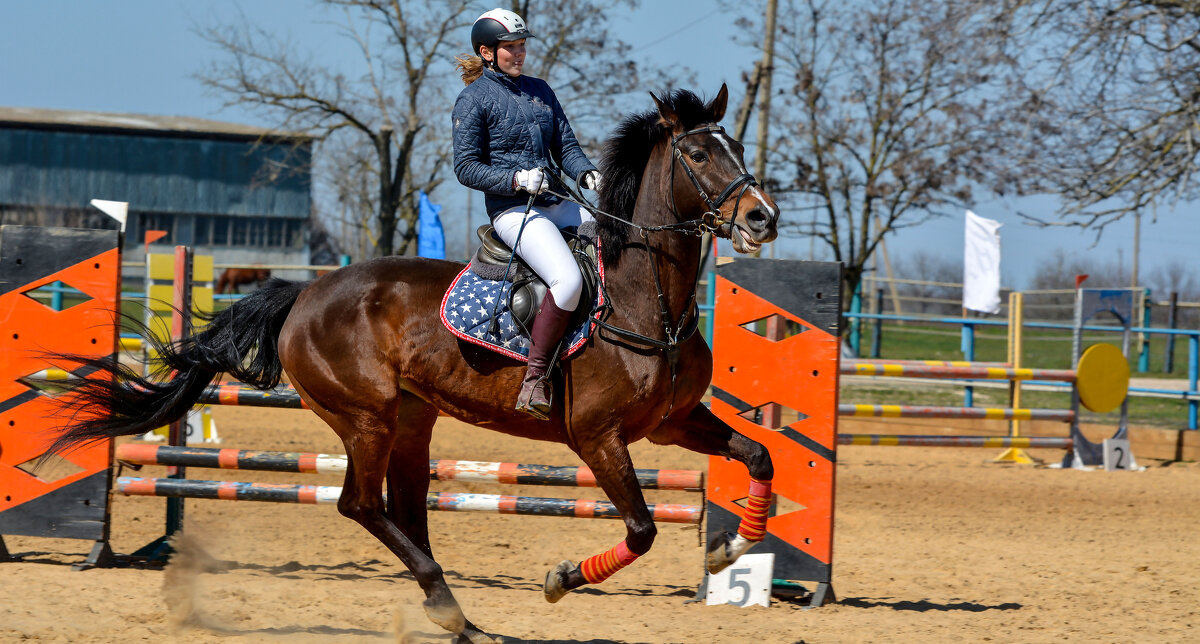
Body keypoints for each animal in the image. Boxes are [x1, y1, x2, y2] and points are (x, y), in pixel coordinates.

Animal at [54, 85, 787, 642]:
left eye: (735, 146)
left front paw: (731, 551)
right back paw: (448, 607)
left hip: (410, 420)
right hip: (366, 417)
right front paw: (560, 581)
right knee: (360, 504)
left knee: (405, 512)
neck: (644, 299)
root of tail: (305, 294)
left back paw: (460, 618)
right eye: (699, 152)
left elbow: (759, 458)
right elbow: (641, 529)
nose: (763, 218)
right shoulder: (598, 438)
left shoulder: (671, 423)